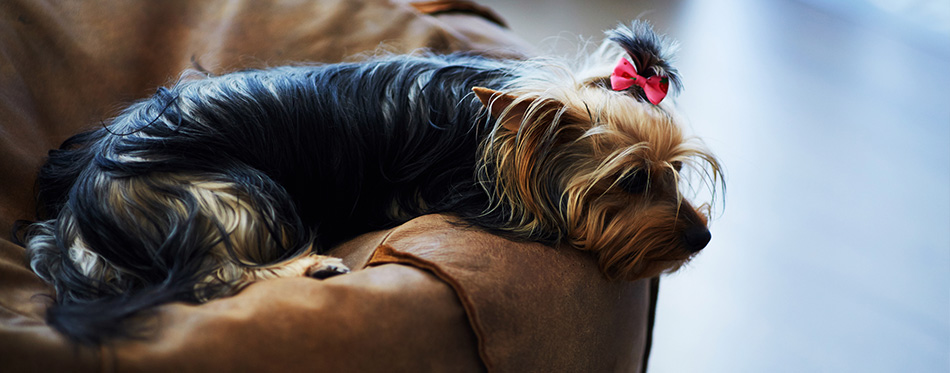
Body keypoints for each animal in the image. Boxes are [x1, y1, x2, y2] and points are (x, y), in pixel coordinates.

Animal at [22, 21, 720, 342]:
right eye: (631, 181)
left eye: (675, 173)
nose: (701, 239)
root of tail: (77, 226)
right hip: (230, 192)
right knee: (213, 276)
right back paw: (313, 267)